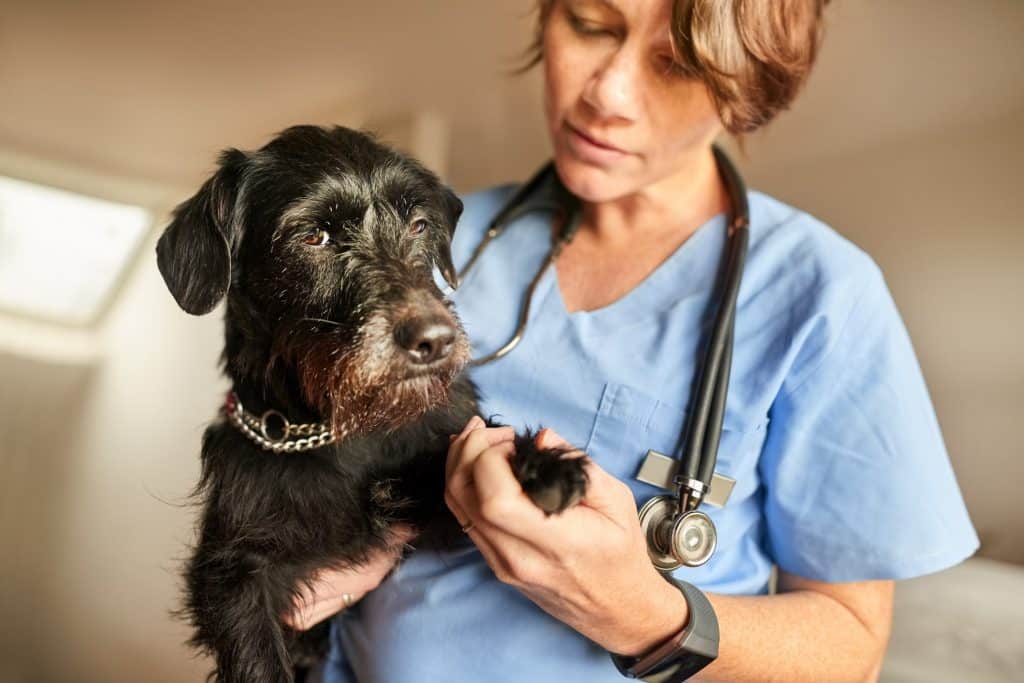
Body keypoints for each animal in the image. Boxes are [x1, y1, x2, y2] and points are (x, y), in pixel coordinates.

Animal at [157, 125, 593, 679]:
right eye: (312, 237)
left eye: (419, 225)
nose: (435, 340)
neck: (340, 429)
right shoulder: (233, 574)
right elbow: (257, 658)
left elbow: (472, 447)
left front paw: (539, 463)